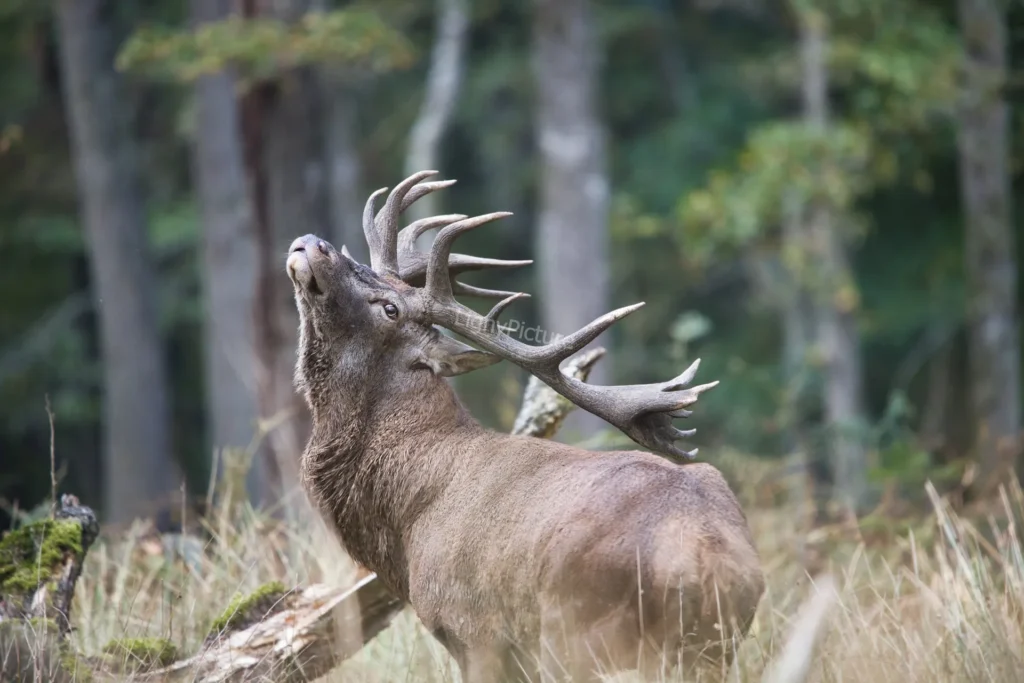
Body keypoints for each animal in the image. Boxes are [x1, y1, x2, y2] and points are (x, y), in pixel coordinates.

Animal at [286, 171, 765, 683]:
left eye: (390, 308)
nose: (314, 243)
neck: (404, 522)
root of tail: (708, 563)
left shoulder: (473, 631)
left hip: (577, 636)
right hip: (708, 653)